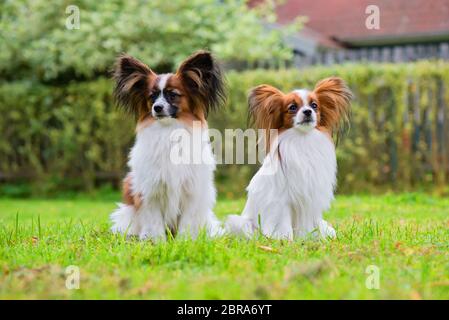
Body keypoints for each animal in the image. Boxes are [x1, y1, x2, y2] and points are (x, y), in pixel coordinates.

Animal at [110, 50, 226, 240]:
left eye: (173, 95)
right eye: (152, 97)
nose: (157, 107)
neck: (169, 131)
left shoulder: (191, 190)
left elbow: (188, 220)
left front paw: (185, 240)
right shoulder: (150, 190)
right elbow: (154, 219)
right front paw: (155, 240)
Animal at [226, 77, 352, 240]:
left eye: (314, 105)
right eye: (292, 107)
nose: (308, 111)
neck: (303, 139)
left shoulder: (311, 199)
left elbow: (311, 223)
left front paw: (312, 238)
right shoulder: (282, 200)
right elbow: (283, 223)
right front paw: (285, 239)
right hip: (242, 223)